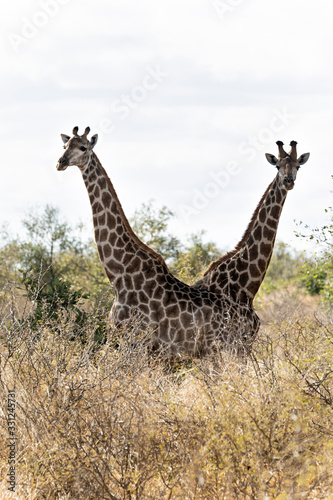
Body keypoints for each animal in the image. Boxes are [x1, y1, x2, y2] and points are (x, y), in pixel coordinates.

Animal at [55, 127, 260, 358]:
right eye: (64, 145)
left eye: (83, 147)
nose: (61, 162)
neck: (119, 274)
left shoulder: (135, 341)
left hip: (232, 348)